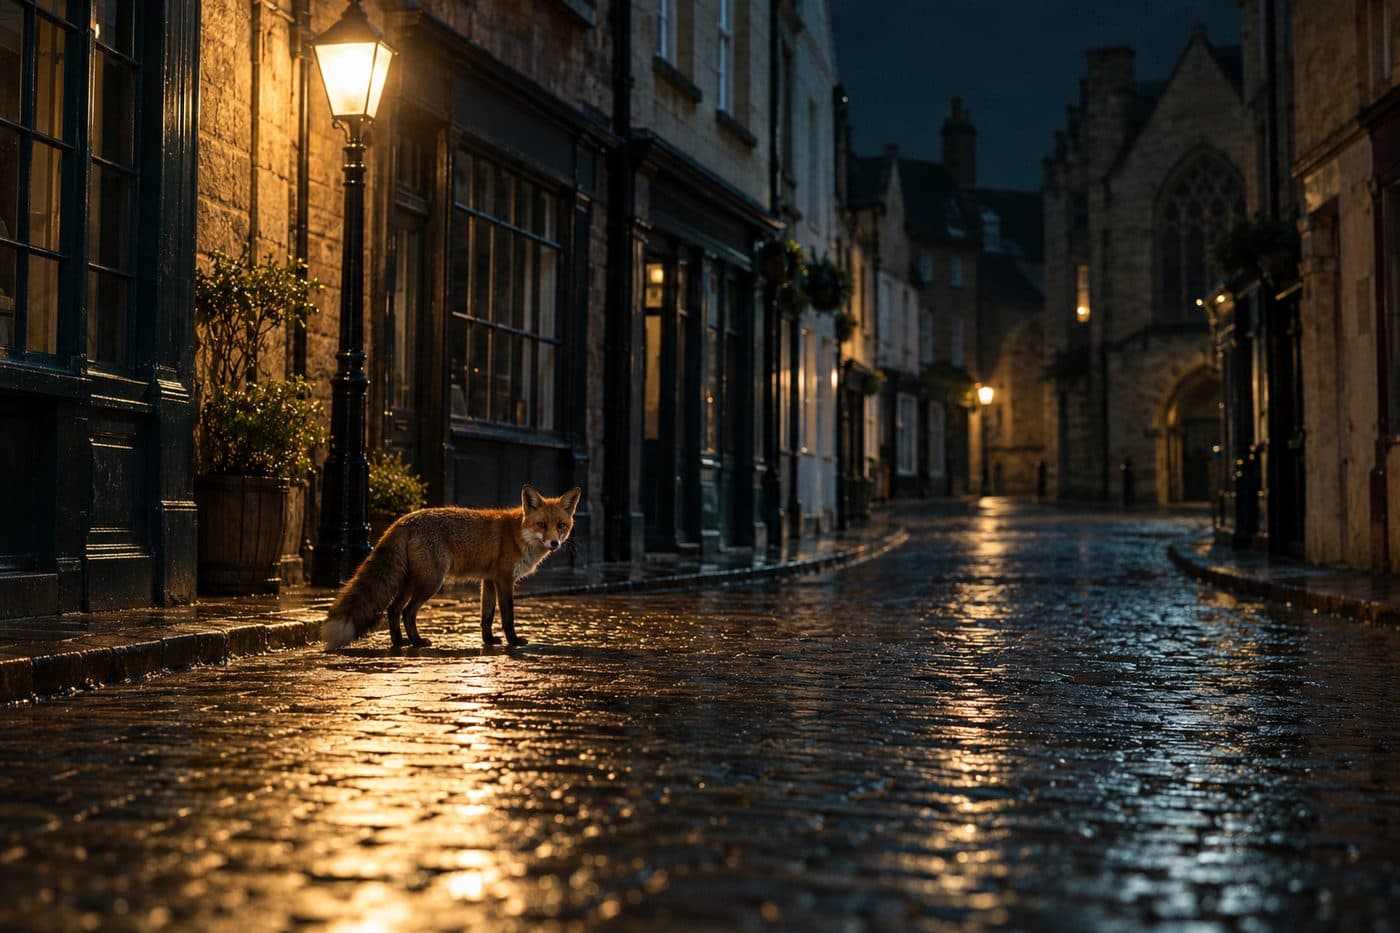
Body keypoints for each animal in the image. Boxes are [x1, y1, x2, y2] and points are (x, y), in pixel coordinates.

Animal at [321, 484, 581, 650]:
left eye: (561, 525)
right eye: (541, 525)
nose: (555, 543)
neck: (518, 535)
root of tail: (404, 520)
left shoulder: (488, 580)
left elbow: (486, 616)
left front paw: (489, 641)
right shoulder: (504, 579)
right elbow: (508, 614)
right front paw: (514, 641)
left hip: (410, 581)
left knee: (393, 610)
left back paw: (399, 643)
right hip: (431, 581)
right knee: (407, 612)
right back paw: (417, 642)